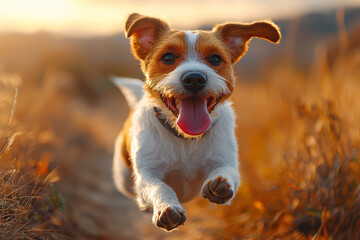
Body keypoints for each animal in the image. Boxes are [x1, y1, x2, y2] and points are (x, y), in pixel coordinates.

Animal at [112, 12, 282, 231]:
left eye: (215, 58)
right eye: (168, 57)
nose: (194, 78)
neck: (187, 139)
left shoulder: (226, 160)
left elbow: (227, 172)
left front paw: (221, 184)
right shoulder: (148, 173)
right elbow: (159, 186)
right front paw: (167, 206)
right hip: (123, 178)